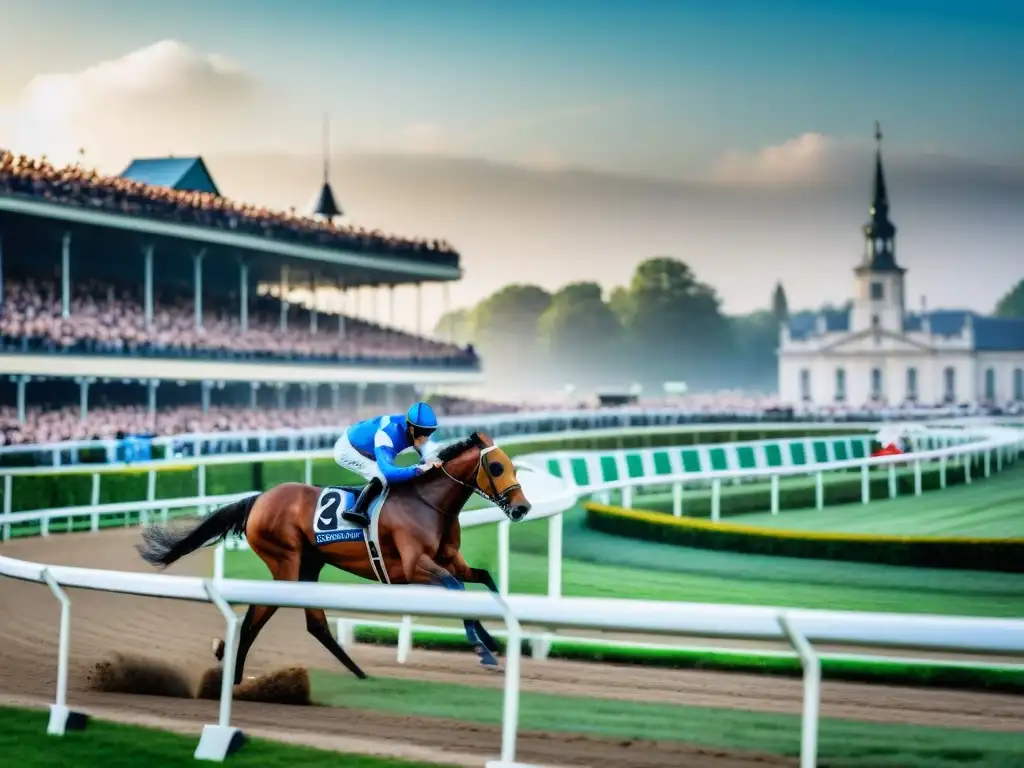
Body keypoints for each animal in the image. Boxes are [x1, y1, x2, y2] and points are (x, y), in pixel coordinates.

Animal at [136, 434, 528, 684]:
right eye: (495, 468)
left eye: (513, 466)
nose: (522, 508)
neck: (429, 504)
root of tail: (259, 499)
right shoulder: (414, 566)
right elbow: (456, 586)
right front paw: (482, 649)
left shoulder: (450, 560)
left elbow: (482, 578)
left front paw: (496, 641)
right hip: (286, 563)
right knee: (255, 620)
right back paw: (233, 678)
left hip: (310, 565)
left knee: (316, 625)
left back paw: (359, 673)